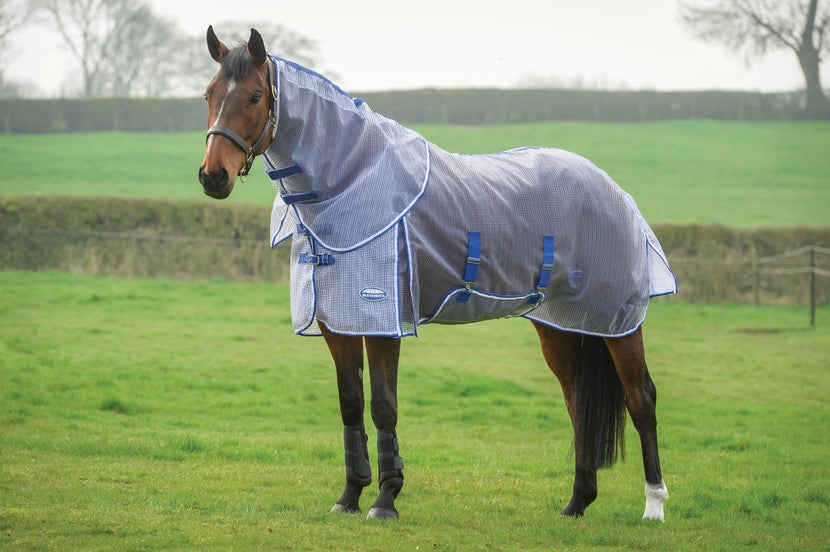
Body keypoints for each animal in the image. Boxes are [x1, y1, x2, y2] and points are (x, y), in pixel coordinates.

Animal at [200, 27, 676, 520]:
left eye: (255, 96)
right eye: (209, 94)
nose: (213, 176)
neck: (350, 183)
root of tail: (614, 190)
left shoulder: (385, 323)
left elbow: (384, 407)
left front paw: (386, 501)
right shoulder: (338, 322)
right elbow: (351, 406)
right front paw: (349, 497)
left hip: (617, 322)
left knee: (641, 398)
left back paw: (653, 506)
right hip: (561, 326)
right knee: (578, 402)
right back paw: (577, 502)